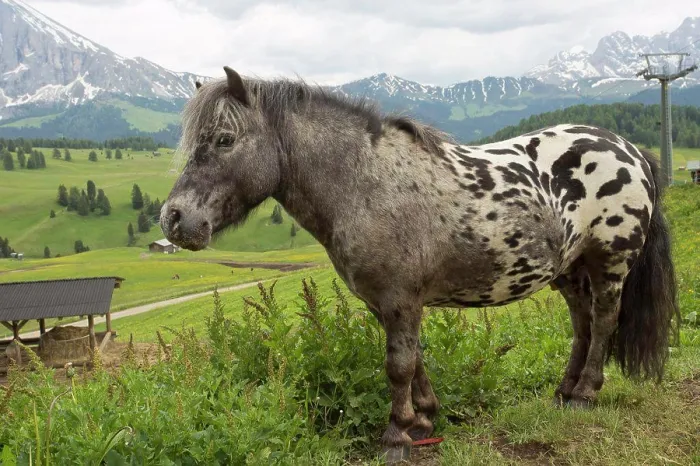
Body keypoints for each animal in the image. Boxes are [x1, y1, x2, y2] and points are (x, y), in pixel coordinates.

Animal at [160, 66, 680, 463]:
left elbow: (398, 365)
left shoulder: (399, 299)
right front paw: (425, 418)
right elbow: (415, 360)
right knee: (583, 325)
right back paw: (564, 392)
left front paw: (397, 434)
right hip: (571, 272)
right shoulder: (389, 303)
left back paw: (585, 394)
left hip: (610, 262)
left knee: (605, 321)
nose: (174, 218)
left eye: (224, 139)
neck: (365, 183)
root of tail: (630, 150)